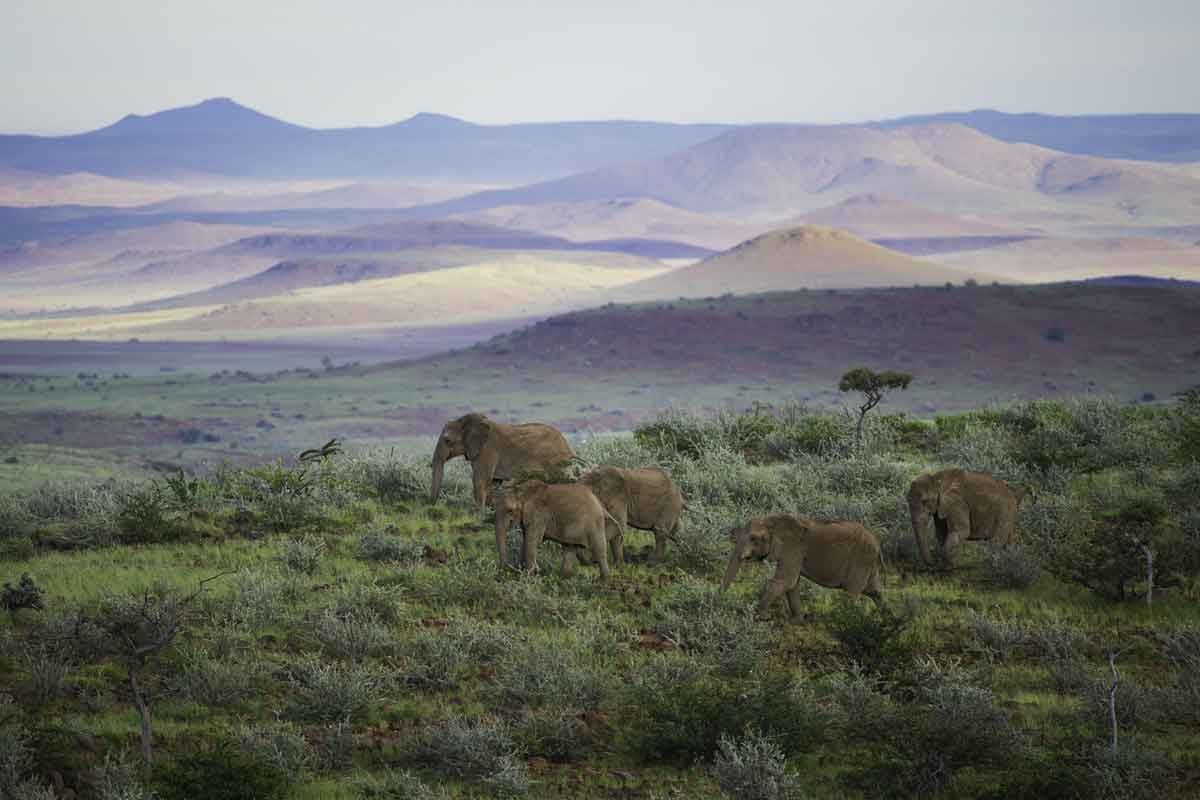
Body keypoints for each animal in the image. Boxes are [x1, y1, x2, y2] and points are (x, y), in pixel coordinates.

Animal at [432, 417, 576, 510]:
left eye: (447, 440)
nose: (432, 505)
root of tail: (566, 445)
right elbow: (493, 483)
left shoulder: (487, 450)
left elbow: (480, 481)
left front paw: (479, 518)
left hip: (556, 463)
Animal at [720, 513, 883, 618]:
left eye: (753, 538)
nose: (721, 600)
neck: (771, 521)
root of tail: (877, 543)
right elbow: (792, 584)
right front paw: (798, 620)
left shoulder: (792, 548)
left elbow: (786, 581)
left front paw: (760, 617)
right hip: (867, 564)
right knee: (875, 591)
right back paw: (885, 618)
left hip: (861, 560)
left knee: (851, 593)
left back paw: (847, 619)